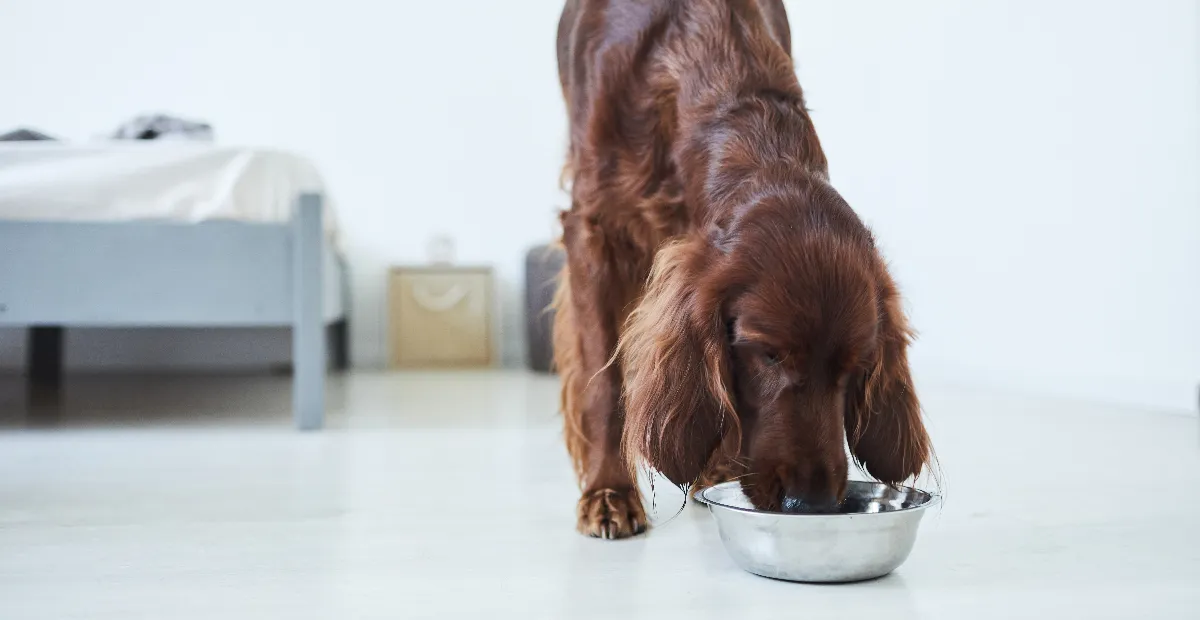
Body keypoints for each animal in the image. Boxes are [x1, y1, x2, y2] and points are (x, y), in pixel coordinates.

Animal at [549, 0, 931, 537]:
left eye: (856, 366)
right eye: (768, 355)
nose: (810, 503)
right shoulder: (593, 229)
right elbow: (602, 382)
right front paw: (609, 491)